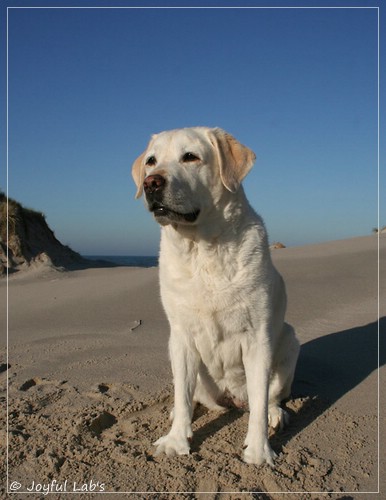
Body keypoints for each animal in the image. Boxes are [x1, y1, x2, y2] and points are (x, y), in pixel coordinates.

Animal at [132, 126, 298, 464]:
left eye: (190, 157)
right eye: (151, 161)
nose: (151, 182)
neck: (201, 250)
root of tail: (231, 398)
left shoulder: (257, 338)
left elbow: (259, 401)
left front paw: (258, 451)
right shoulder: (181, 335)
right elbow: (183, 394)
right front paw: (176, 441)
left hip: (289, 339)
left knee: (269, 397)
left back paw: (276, 414)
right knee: (189, 394)